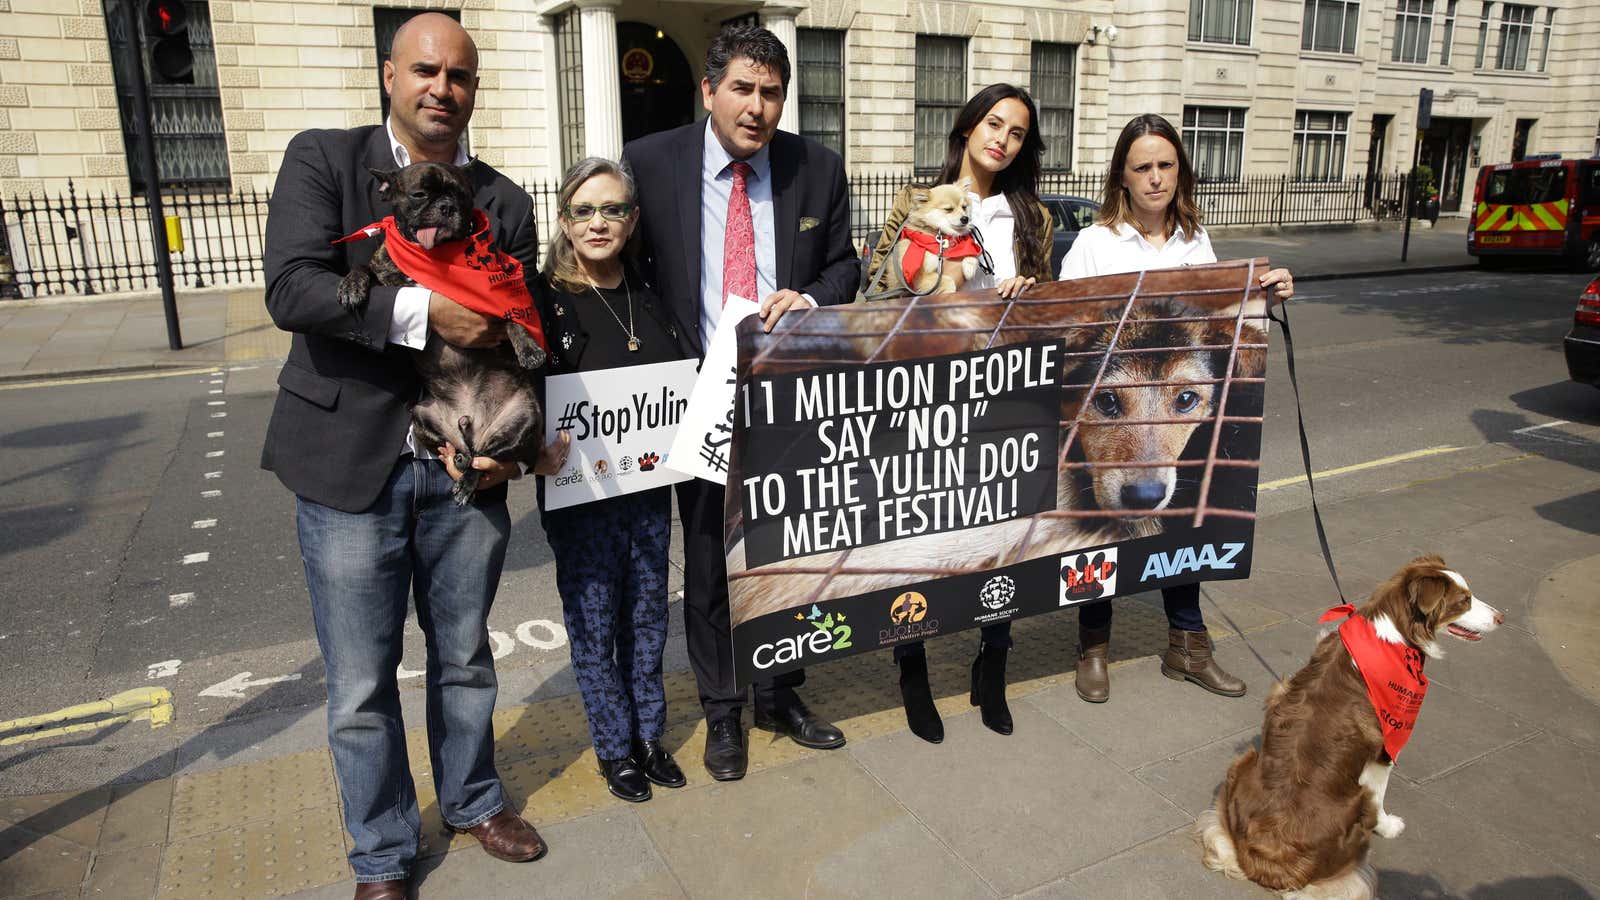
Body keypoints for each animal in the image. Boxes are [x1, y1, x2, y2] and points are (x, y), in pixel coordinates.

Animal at [1196, 554, 1504, 896]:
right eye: (1463, 601)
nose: (1501, 618)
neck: (1394, 635)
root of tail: (1261, 863)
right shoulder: (1386, 748)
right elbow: (1381, 797)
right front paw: (1390, 826)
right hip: (1355, 809)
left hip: (1243, 764)